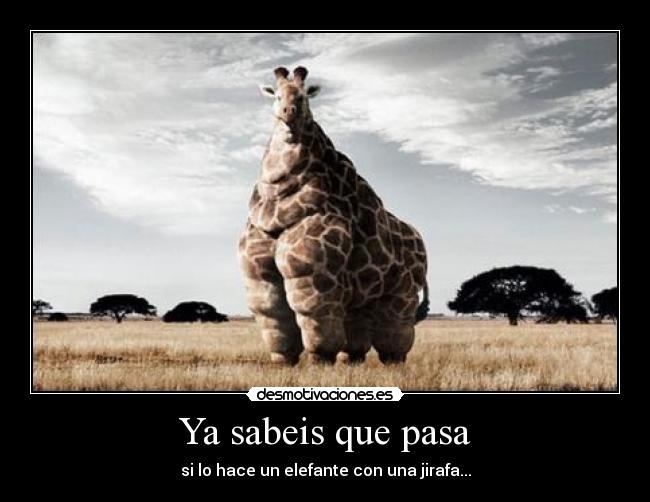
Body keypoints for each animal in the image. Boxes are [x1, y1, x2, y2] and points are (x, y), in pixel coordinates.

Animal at [238, 66, 429, 366]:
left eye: (304, 96)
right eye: (277, 95)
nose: (289, 112)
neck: (277, 203)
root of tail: (422, 244)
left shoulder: (311, 271)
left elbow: (315, 319)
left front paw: (320, 361)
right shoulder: (259, 274)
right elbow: (274, 315)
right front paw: (283, 362)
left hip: (402, 289)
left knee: (395, 331)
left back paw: (392, 362)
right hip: (364, 294)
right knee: (357, 333)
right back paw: (351, 361)